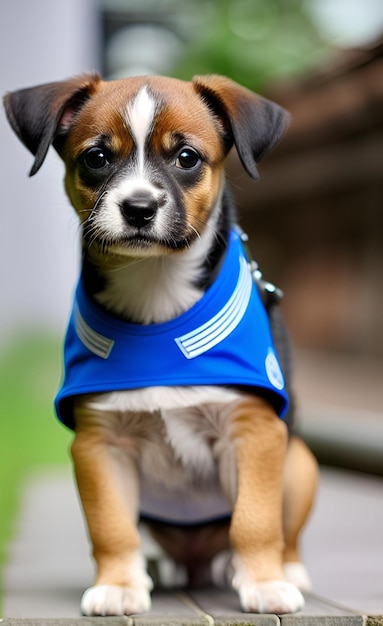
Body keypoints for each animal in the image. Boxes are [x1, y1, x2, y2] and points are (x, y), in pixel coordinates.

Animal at [3, 74, 318, 616]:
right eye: (97, 157)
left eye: (186, 157)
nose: (139, 208)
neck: (156, 293)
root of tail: (196, 560)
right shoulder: (99, 445)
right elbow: (111, 527)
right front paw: (118, 585)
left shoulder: (254, 433)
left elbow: (255, 521)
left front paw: (265, 583)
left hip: (299, 461)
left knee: (282, 532)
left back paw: (286, 569)